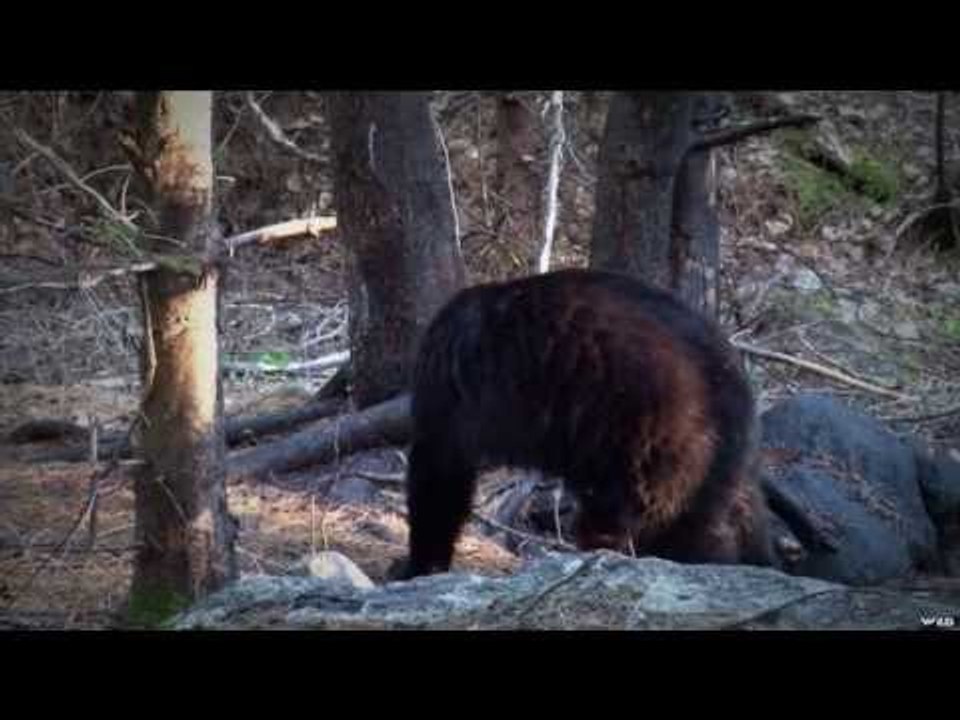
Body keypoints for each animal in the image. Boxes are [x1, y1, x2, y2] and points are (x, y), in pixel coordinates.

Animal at [390, 268, 774, 580]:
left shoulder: (449, 381)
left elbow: (441, 472)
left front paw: (417, 564)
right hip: (705, 460)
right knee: (717, 516)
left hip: (650, 435)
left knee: (645, 518)